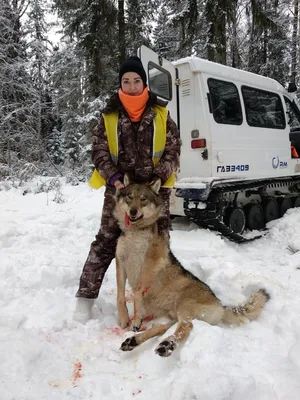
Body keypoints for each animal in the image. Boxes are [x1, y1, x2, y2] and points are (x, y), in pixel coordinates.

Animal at [113, 177, 270, 358]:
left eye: (143, 199)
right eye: (129, 197)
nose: (133, 211)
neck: (135, 232)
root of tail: (220, 305)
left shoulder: (151, 262)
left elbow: (137, 292)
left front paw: (137, 318)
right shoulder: (120, 261)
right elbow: (120, 295)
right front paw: (124, 318)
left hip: (184, 304)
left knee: (186, 326)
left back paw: (166, 345)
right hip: (172, 315)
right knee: (161, 327)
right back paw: (133, 342)